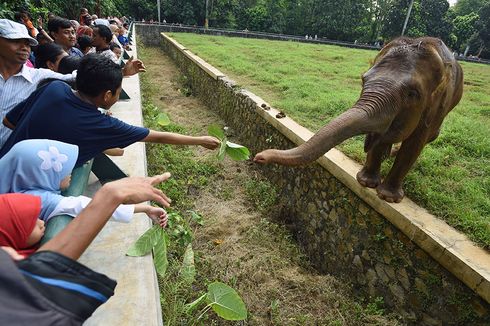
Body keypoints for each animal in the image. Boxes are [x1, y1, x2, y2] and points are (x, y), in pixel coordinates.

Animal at [255, 37, 466, 202]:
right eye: (363, 79)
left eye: (413, 94)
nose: (259, 156)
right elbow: (379, 136)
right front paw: (365, 182)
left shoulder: (436, 107)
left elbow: (415, 143)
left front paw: (388, 197)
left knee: (429, 136)